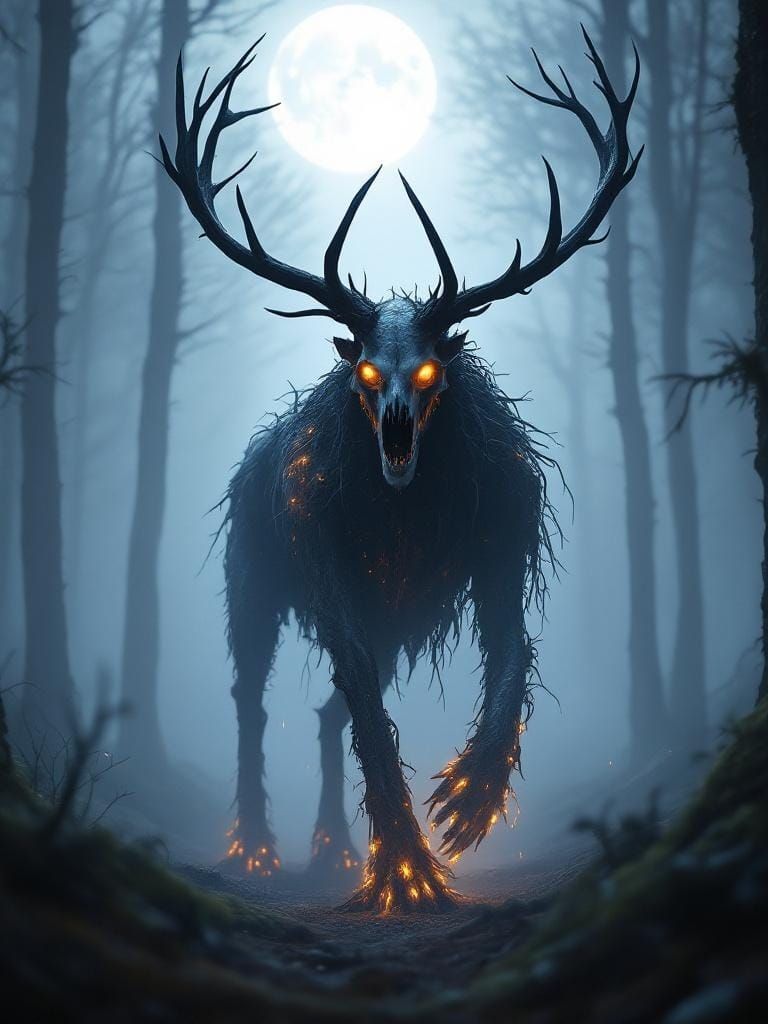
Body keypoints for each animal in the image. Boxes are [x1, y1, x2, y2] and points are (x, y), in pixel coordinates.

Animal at [160, 27, 641, 913]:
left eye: (429, 371)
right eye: (365, 372)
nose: (393, 437)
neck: (407, 522)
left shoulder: (499, 550)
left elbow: (512, 658)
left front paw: (467, 803)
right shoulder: (328, 567)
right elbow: (360, 699)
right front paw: (406, 869)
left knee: (324, 715)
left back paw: (330, 848)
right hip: (253, 581)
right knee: (255, 703)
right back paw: (259, 847)